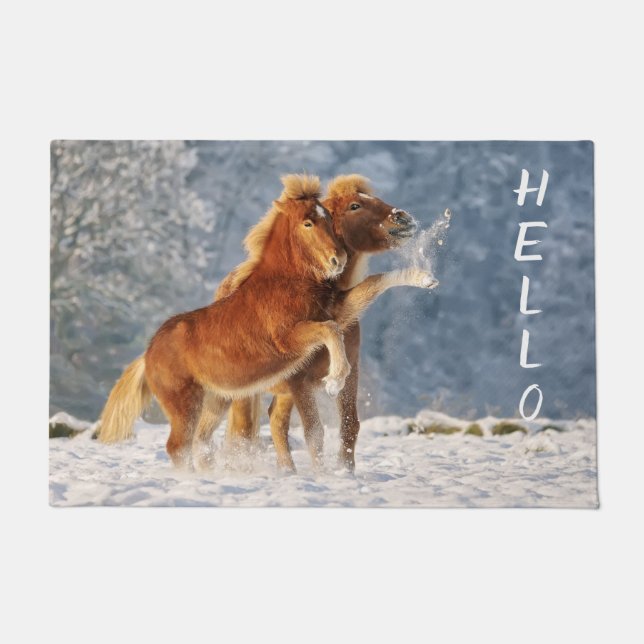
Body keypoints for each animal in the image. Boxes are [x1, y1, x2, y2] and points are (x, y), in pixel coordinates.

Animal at [97, 174, 353, 467]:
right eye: (307, 223)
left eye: (329, 219)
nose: (338, 260)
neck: (283, 284)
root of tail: (147, 355)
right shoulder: (288, 339)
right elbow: (330, 329)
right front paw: (335, 380)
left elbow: (338, 324)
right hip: (185, 405)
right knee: (178, 446)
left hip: (215, 401)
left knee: (199, 442)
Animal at [208, 175, 436, 472]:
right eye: (355, 205)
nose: (403, 218)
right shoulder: (299, 381)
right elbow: (313, 432)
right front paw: (322, 476)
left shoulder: (350, 373)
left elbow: (349, 426)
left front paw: (345, 473)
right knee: (243, 431)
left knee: (275, 422)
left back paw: (288, 473)